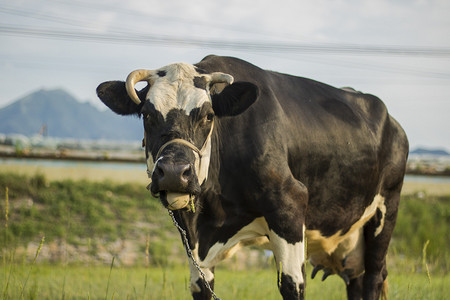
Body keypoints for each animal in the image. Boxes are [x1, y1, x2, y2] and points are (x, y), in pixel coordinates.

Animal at [96, 55, 410, 298]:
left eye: (208, 115)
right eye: (147, 114)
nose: (174, 172)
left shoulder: (290, 206)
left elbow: (292, 286)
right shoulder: (194, 244)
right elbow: (202, 287)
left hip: (386, 210)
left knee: (373, 277)